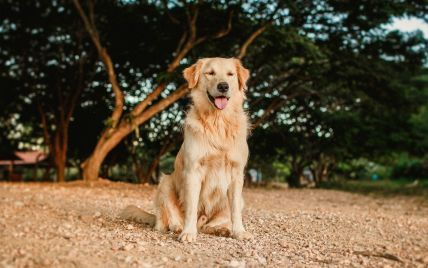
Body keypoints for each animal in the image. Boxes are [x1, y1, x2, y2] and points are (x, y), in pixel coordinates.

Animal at [120, 58, 252, 243]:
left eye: (230, 74)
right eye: (210, 73)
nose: (223, 86)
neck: (217, 121)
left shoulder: (237, 173)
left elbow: (234, 211)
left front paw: (239, 231)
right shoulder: (193, 171)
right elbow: (191, 207)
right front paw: (188, 233)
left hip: (240, 199)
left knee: (209, 225)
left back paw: (221, 230)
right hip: (165, 182)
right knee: (165, 222)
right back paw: (178, 227)